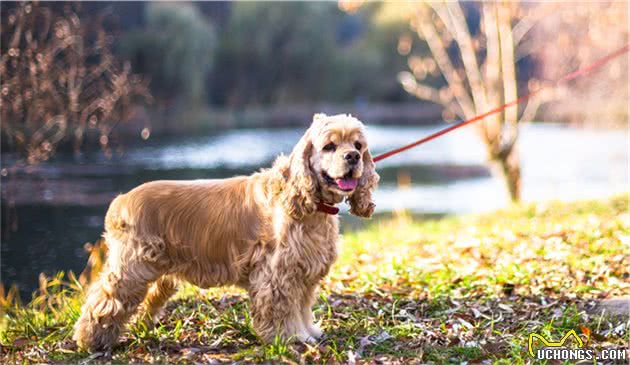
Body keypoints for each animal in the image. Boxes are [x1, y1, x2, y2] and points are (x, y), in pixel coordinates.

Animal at [74, 113, 380, 350]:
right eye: (329, 146)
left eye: (358, 144)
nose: (353, 156)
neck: (309, 204)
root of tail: (120, 201)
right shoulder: (277, 274)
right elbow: (282, 311)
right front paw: (289, 338)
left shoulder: (305, 273)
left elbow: (302, 307)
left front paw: (308, 332)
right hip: (132, 269)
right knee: (103, 301)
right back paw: (90, 341)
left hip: (159, 275)